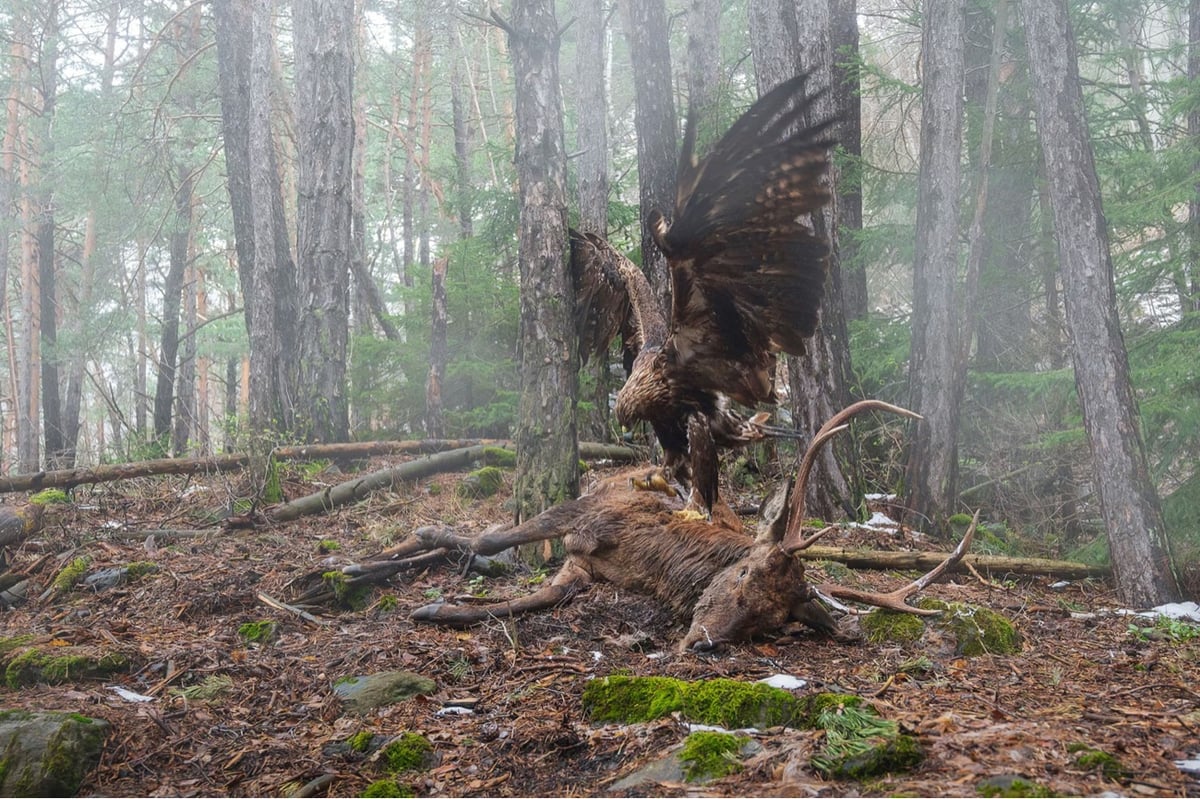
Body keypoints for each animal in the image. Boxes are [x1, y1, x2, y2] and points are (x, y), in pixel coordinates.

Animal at [402, 400, 976, 652]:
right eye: (744, 574)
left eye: (771, 622)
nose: (703, 642)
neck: (651, 562)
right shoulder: (586, 518)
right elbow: (490, 534)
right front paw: (424, 550)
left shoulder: (583, 565)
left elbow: (532, 599)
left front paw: (438, 609)